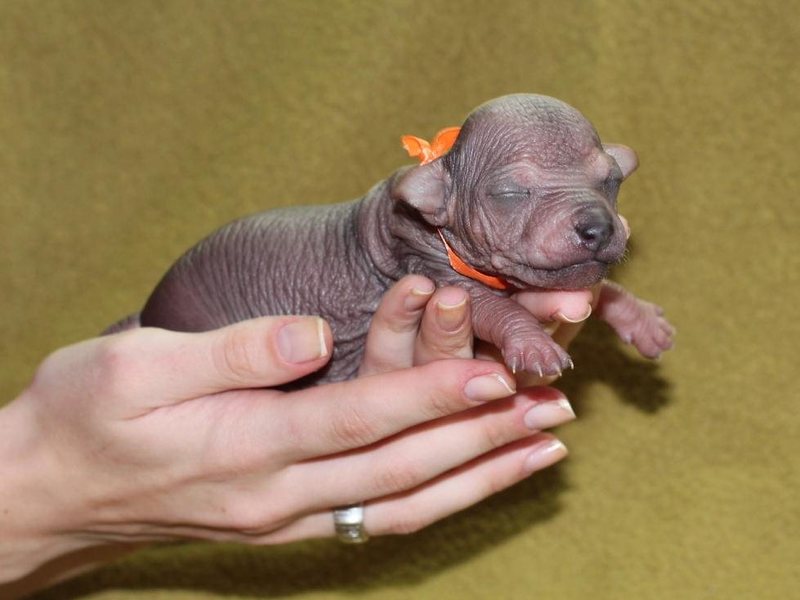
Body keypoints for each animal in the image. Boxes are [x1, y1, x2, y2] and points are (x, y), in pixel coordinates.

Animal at [131, 94, 676, 384]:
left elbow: (603, 286)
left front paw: (642, 319)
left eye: (611, 181)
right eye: (510, 193)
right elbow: (493, 306)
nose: (598, 227)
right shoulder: (425, 264)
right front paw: (533, 344)